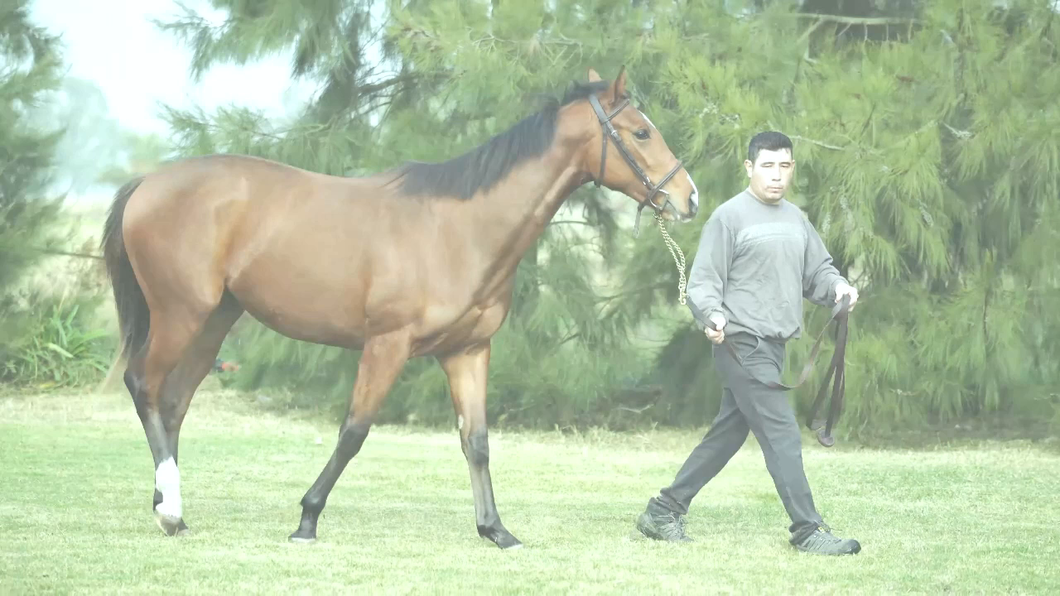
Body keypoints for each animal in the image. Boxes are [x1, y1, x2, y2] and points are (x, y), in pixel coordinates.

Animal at [97, 66, 695, 547]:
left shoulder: (468, 352)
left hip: (214, 321)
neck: (460, 229)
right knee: (145, 386)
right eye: (641, 131)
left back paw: (171, 508)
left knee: (173, 402)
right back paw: (169, 512)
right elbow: (354, 432)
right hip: (181, 315)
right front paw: (307, 520)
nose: (686, 197)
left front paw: (495, 530)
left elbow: (477, 441)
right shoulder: (387, 345)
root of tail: (148, 183)